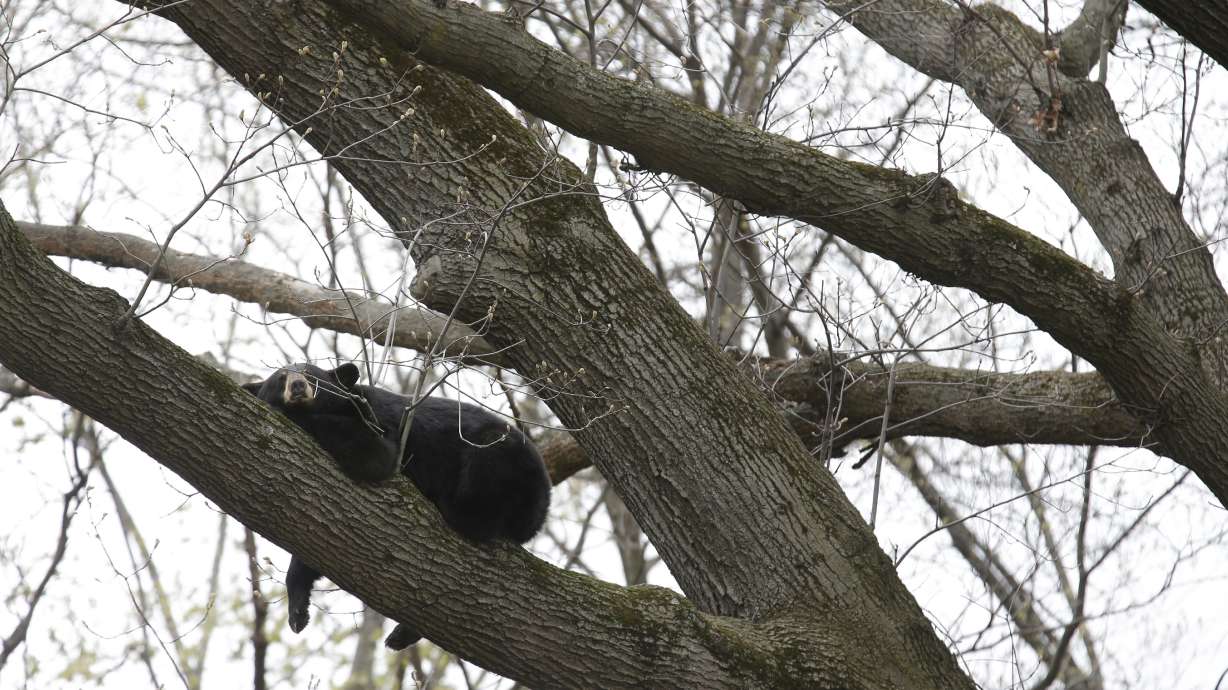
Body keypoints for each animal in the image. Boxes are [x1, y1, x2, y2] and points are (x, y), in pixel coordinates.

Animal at [241, 361, 551, 649]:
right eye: (280, 378)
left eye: (310, 375)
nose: (297, 386)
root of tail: (542, 505)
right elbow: (311, 546)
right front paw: (297, 612)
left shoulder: (375, 420)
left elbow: (374, 455)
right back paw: (402, 634)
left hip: (499, 457)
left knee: (476, 506)